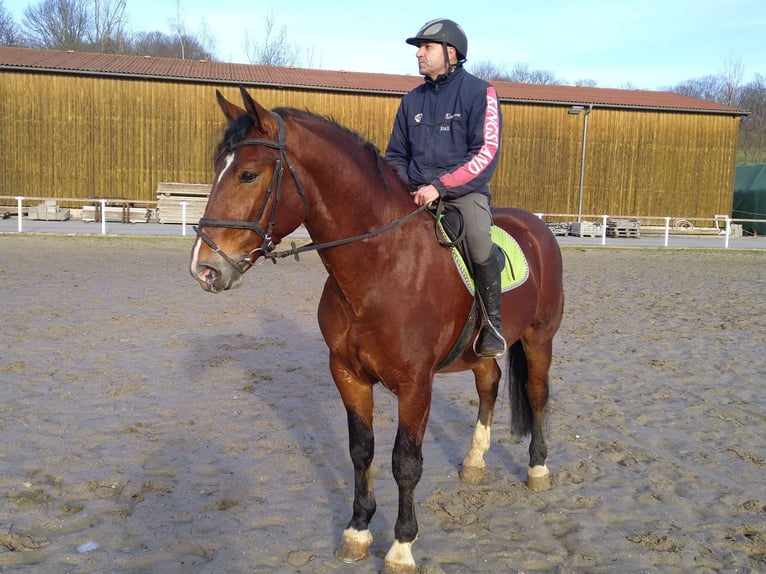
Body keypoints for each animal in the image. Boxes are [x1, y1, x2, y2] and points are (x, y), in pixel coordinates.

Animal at [190, 86, 564, 574]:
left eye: (248, 175)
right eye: (219, 169)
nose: (204, 268)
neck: (382, 266)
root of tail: (538, 226)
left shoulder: (415, 384)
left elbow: (405, 462)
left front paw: (402, 547)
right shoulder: (348, 374)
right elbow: (360, 450)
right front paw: (358, 530)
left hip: (540, 338)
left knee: (537, 395)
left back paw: (538, 470)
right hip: (478, 351)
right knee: (490, 383)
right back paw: (474, 461)